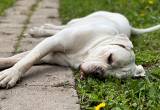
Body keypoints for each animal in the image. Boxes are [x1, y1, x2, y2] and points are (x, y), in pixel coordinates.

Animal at [0, 11, 160, 88]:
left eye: (109, 78)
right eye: (110, 58)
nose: (98, 73)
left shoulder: (50, 56)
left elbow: (20, 58)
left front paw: (6, 67)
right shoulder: (52, 43)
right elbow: (27, 59)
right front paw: (10, 74)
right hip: (77, 21)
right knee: (60, 27)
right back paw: (40, 30)